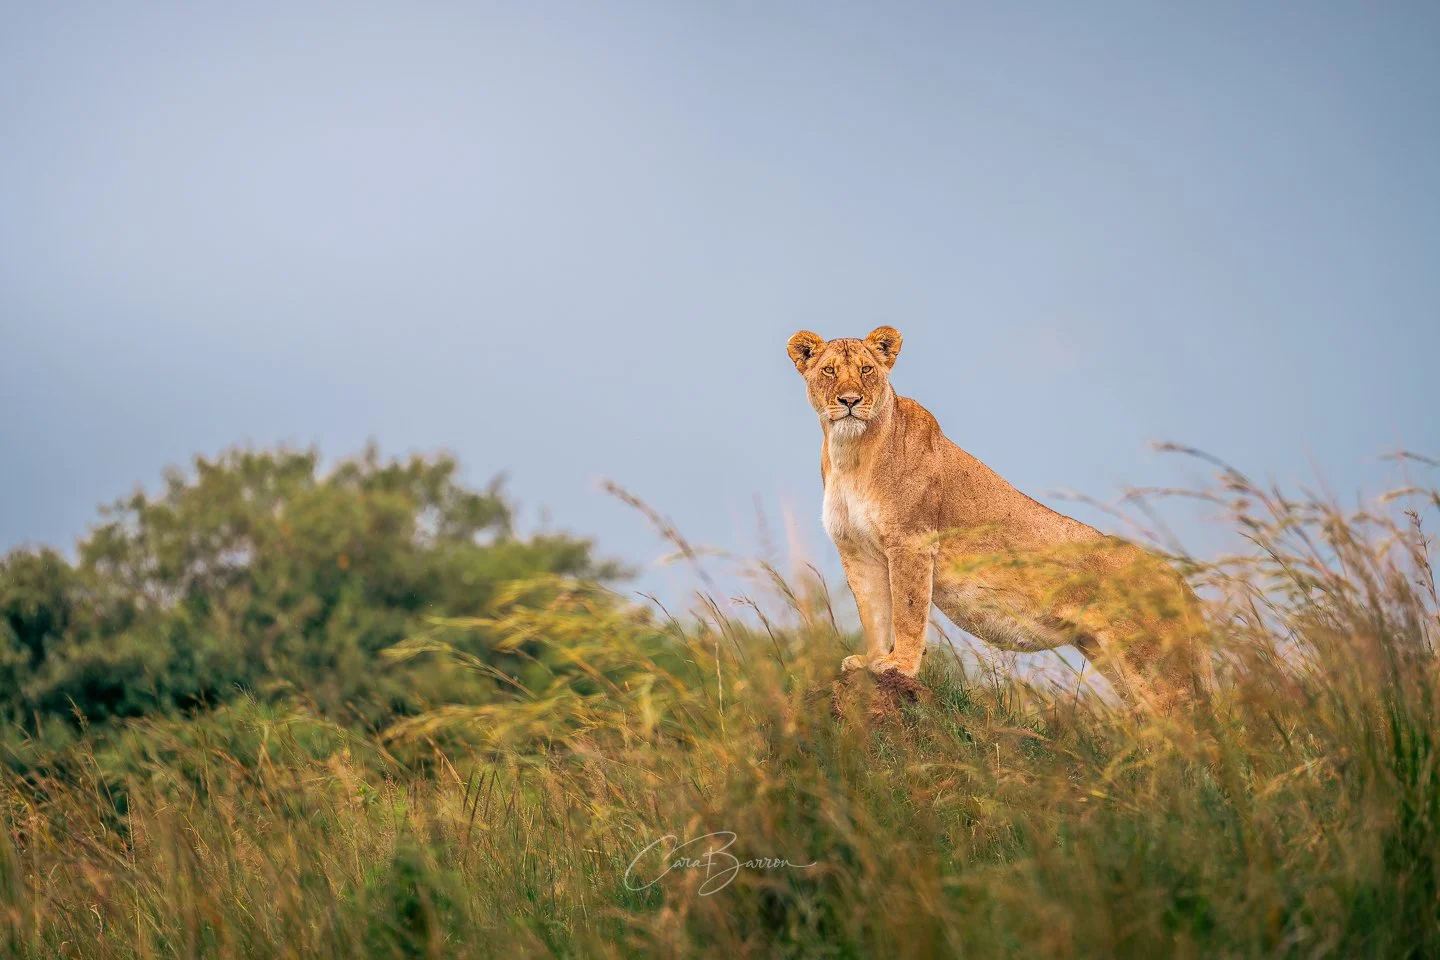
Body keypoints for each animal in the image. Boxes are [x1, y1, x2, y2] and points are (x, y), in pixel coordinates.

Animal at [787, 325, 1210, 711]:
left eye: (866, 370)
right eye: (829, 371)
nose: (850, 400)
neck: (852, 453)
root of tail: (1178, 580)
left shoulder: (911, 542)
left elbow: (907, 612)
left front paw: (900, 667)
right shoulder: (856, 550)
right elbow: (874, 612)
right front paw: (871, 661)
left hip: (1153, 664)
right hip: (1109, 656)